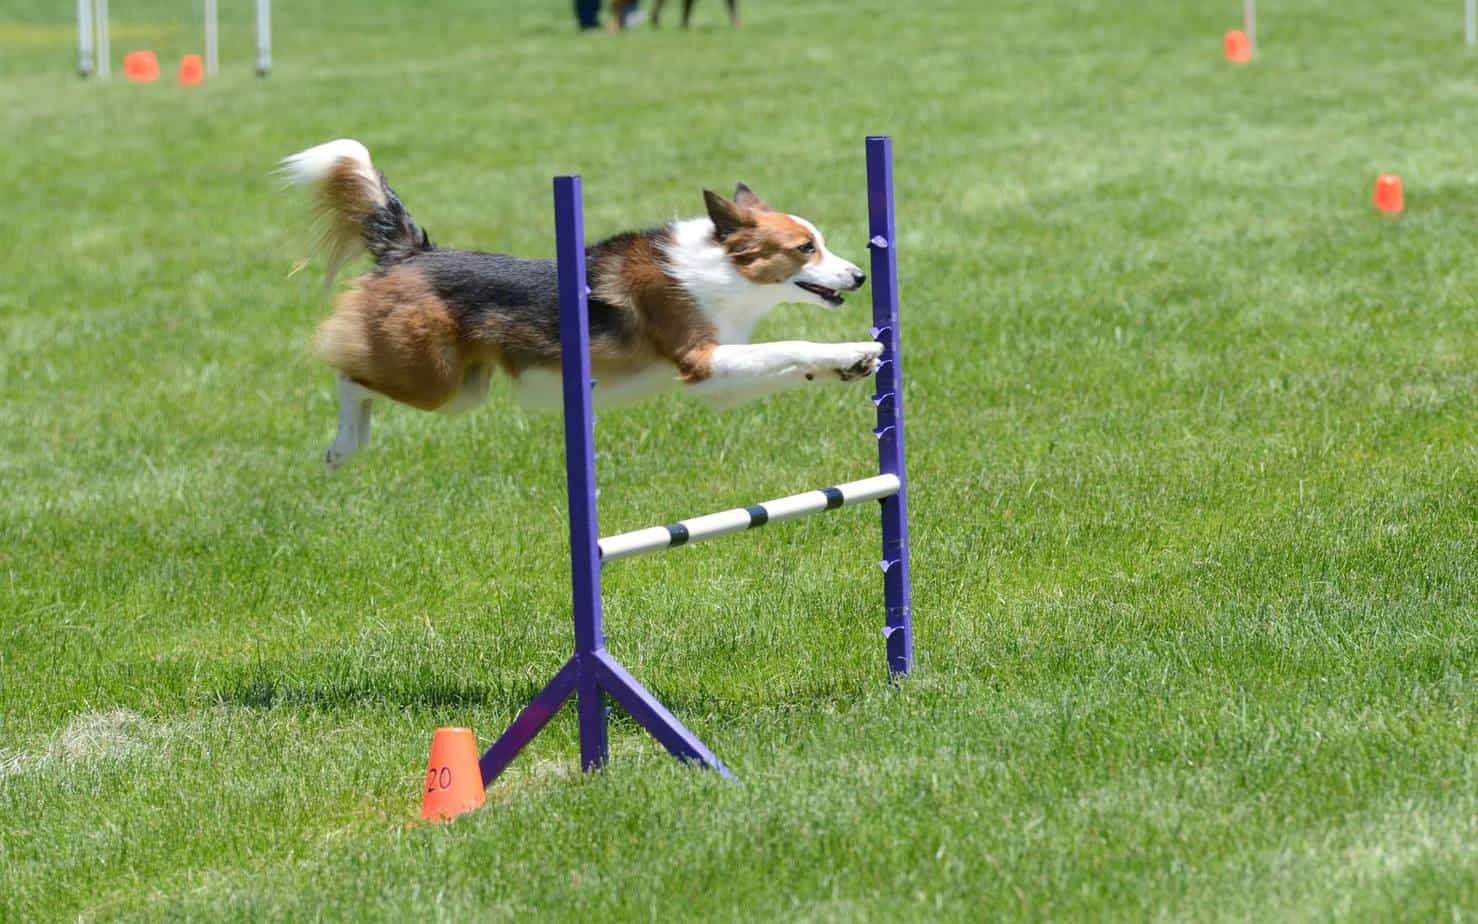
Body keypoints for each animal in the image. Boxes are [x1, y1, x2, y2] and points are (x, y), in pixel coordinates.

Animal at [279, 140, 874, 473]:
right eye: (806, 248)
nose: (861, 275)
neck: (723, 269)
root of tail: (411, 252)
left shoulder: (715, 381)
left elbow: (788, 364)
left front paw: (851, 365)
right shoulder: (699, 359)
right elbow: (792, 344)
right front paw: (853, 348)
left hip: (463, 388)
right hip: (435, 380)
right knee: (348, 376)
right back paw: (342, 447)